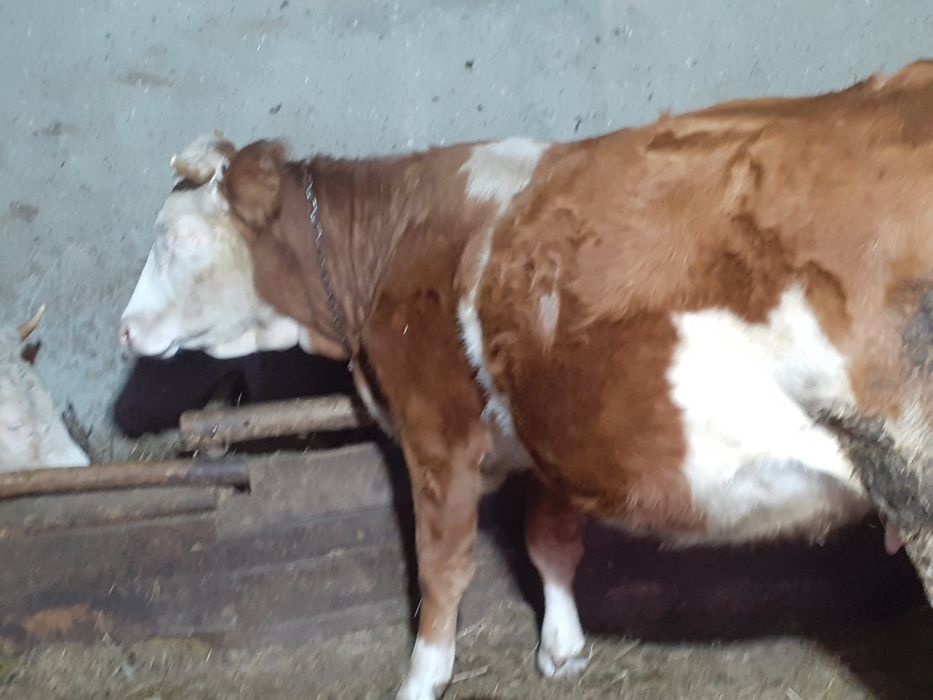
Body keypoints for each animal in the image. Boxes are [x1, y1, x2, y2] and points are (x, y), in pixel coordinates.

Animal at [119, 62, 932, 699]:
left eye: (180, 238)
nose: (125, 329)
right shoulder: (549, 431)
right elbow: (550, 542)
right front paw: (562, 649)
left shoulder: (436, 431)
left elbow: (440, 566)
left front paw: (423, 678)